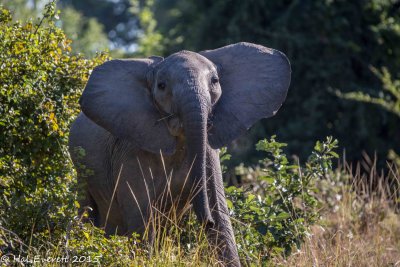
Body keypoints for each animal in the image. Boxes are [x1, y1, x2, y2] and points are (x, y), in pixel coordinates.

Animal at [69, 42, 290, 266]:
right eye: (162, 86)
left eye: (215, 81)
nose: (206, 221)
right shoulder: (129, 151)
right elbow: (142, 218)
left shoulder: (208, 151)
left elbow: (220, 214)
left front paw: (215, 220)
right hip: (81, 172)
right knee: (85, 212)